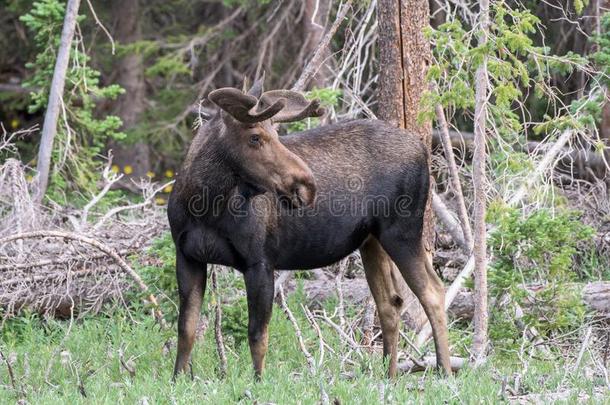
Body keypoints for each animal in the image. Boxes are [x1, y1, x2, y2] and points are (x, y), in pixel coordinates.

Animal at [167, 79, 452, 378]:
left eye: (276, 133)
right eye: (255, 137)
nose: (306, 185)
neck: (204, 206)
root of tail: (423, 148)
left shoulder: (259, 261)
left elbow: (257, 335)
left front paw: (258, 381)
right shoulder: (187, 256)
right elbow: (186, 329)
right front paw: (177, 379)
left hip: (402, 233)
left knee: (433, 292)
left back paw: (444, 371)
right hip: (372, 241)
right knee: (390, 303)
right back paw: (390, 376)